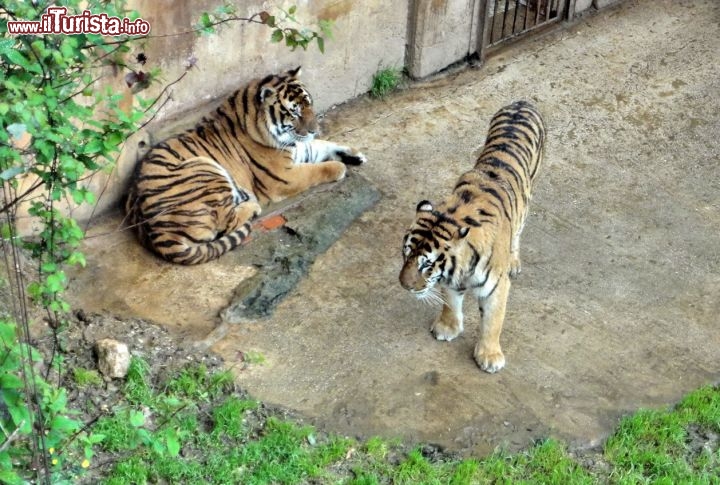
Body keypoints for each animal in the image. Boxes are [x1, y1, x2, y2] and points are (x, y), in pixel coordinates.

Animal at [124, 66, 368, 264]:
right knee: (226, 223)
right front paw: (339, 168)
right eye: (294, 112)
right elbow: (315, 169)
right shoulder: (283, 176)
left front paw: (355, 154)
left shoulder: (298, 149)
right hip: (205, 167)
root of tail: (154, 233)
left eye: (310, 104)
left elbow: (323, 145)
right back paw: (251, 205)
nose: (314, 129)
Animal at [396, 100, 544, 372]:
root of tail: (522, 102)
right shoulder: (450, 279)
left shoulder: (496, 287)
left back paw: (514, 262)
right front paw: (447, 328)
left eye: (427, 265)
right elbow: (450, 303)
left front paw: (490, 356)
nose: (405, 286)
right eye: (406, 253)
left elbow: (493, 321)